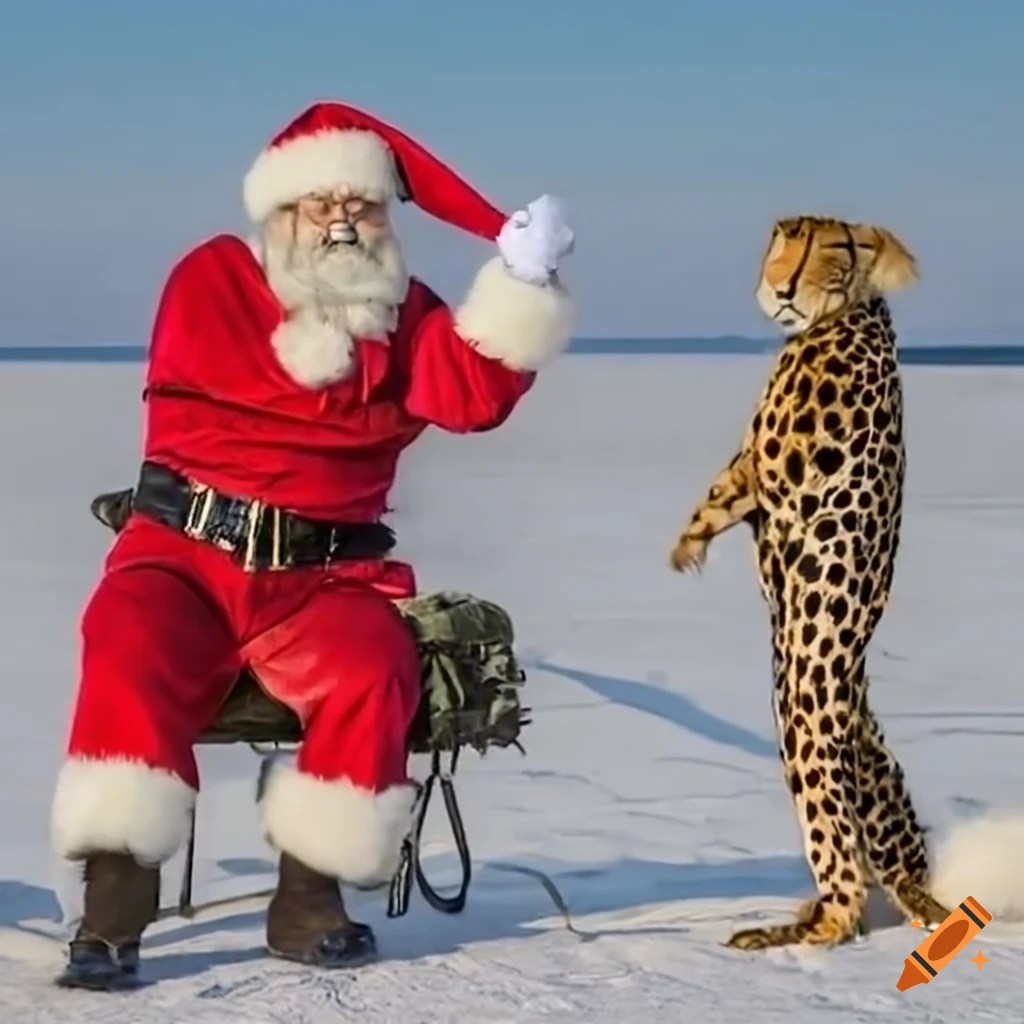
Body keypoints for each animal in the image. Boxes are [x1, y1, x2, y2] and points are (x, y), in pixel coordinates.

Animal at [668, 215, 951, 950]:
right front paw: (689, 543)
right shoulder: (754, 468)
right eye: (781, 244)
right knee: (876, 789)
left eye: (826, 250)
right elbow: (729, 485)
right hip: (832, 685)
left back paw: (820, 920)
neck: (846, 312)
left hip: (814, 664)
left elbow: (741, 474)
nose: (781, 288)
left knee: (829, 802)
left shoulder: (778, 455)